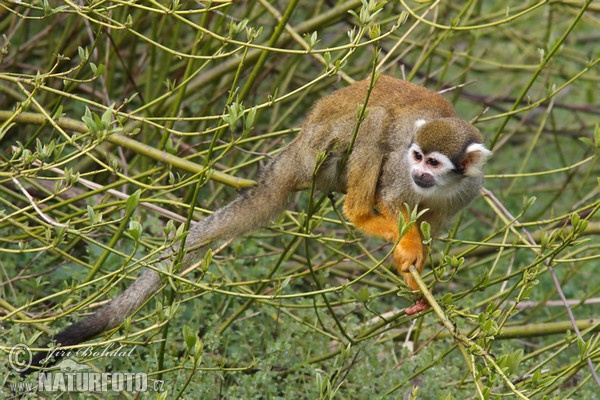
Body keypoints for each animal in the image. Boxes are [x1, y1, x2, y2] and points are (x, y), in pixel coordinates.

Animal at [24, 74, 492, 372]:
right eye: (417, 156)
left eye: (434, 163)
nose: (419, 172)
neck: (436, 186)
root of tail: (295, 147)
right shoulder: (397, 172)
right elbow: (394, 200)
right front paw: (405, 247)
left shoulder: (467, 191)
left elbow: (433, 221)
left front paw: (419, 272)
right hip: (322, 151)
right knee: (373, 119)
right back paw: (362, 214)